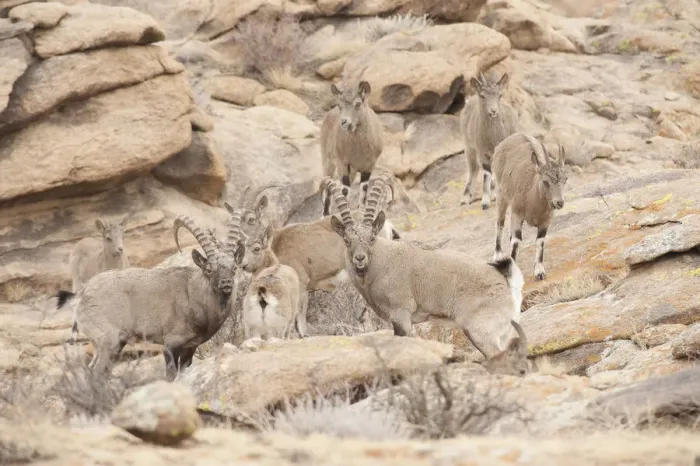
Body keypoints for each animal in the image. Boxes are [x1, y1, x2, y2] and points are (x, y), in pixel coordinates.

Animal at [55, 214, 246, 381]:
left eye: (235, 267)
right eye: (209, 270)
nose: (226, 284)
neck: (193, 294)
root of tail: (82, 294)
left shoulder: (190, 348)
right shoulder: (171, 343)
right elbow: (170, 375)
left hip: (108, 345)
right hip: (108, 341)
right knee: (96, 373)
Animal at [320, 77, 383, 216]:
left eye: (358, 103)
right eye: (339, 105)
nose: (343, 122)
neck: (358, 151)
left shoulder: (369, 165)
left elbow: (364, 187)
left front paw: (361, 209)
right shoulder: (343, 164)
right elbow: (345, 190)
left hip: (352, 171)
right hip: (327, 161)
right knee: (328, 188)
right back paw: (325, 214)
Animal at [326, 177, 525, 360]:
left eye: (372, 238)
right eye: (347, 240)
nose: (360, 258)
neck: (381, 262)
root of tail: (505, 279)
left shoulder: (401, 316)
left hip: (480, 331)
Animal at [460, 72, 518, 210]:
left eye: (500, 95)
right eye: (483, 96)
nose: (493, 111)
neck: (493, 139)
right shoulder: (482, 152)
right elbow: (486, 173)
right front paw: (485, 202)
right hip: (469, 147)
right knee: (473, 168)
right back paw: (466, 198)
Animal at [492, 132, 569, 281]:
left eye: (565, 180)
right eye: (545, 181)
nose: (559, 202)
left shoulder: (546, 220)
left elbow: (540, 242)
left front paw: (539, 271)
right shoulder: (517, 213)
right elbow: (516, 241)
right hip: (501, 194)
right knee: (500, 222)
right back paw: (498, 254)